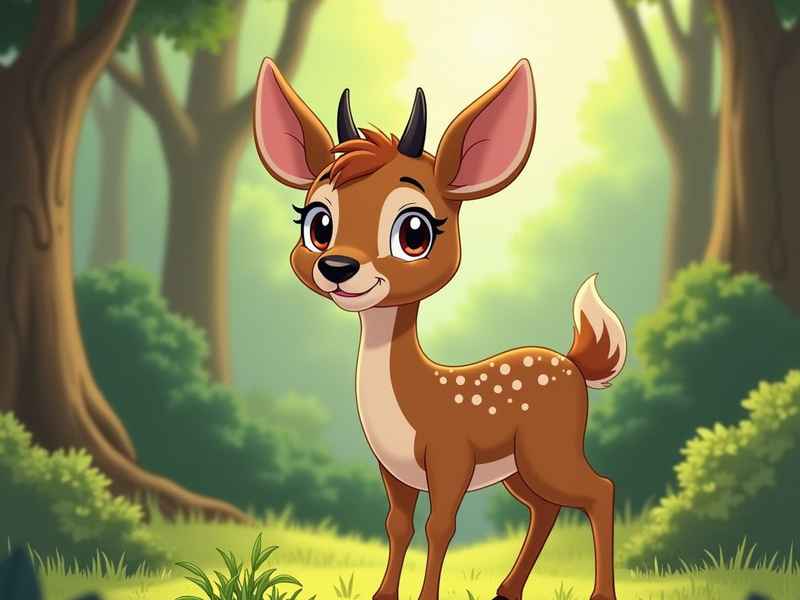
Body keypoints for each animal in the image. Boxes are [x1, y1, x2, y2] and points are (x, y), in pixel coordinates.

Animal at [253, 57, 627, 600]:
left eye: (415, 232)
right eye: (317, 222)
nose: (338, 266)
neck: (414, 398)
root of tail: (574, 363)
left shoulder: (452, 457)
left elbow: (440, 527)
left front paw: (425, 596)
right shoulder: (394, 469)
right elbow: (397, 525)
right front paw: (382, 594)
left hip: (550, 448)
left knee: (600, 489)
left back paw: (599, 593)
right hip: (519, 467)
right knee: (544, 508)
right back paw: (506, 589)